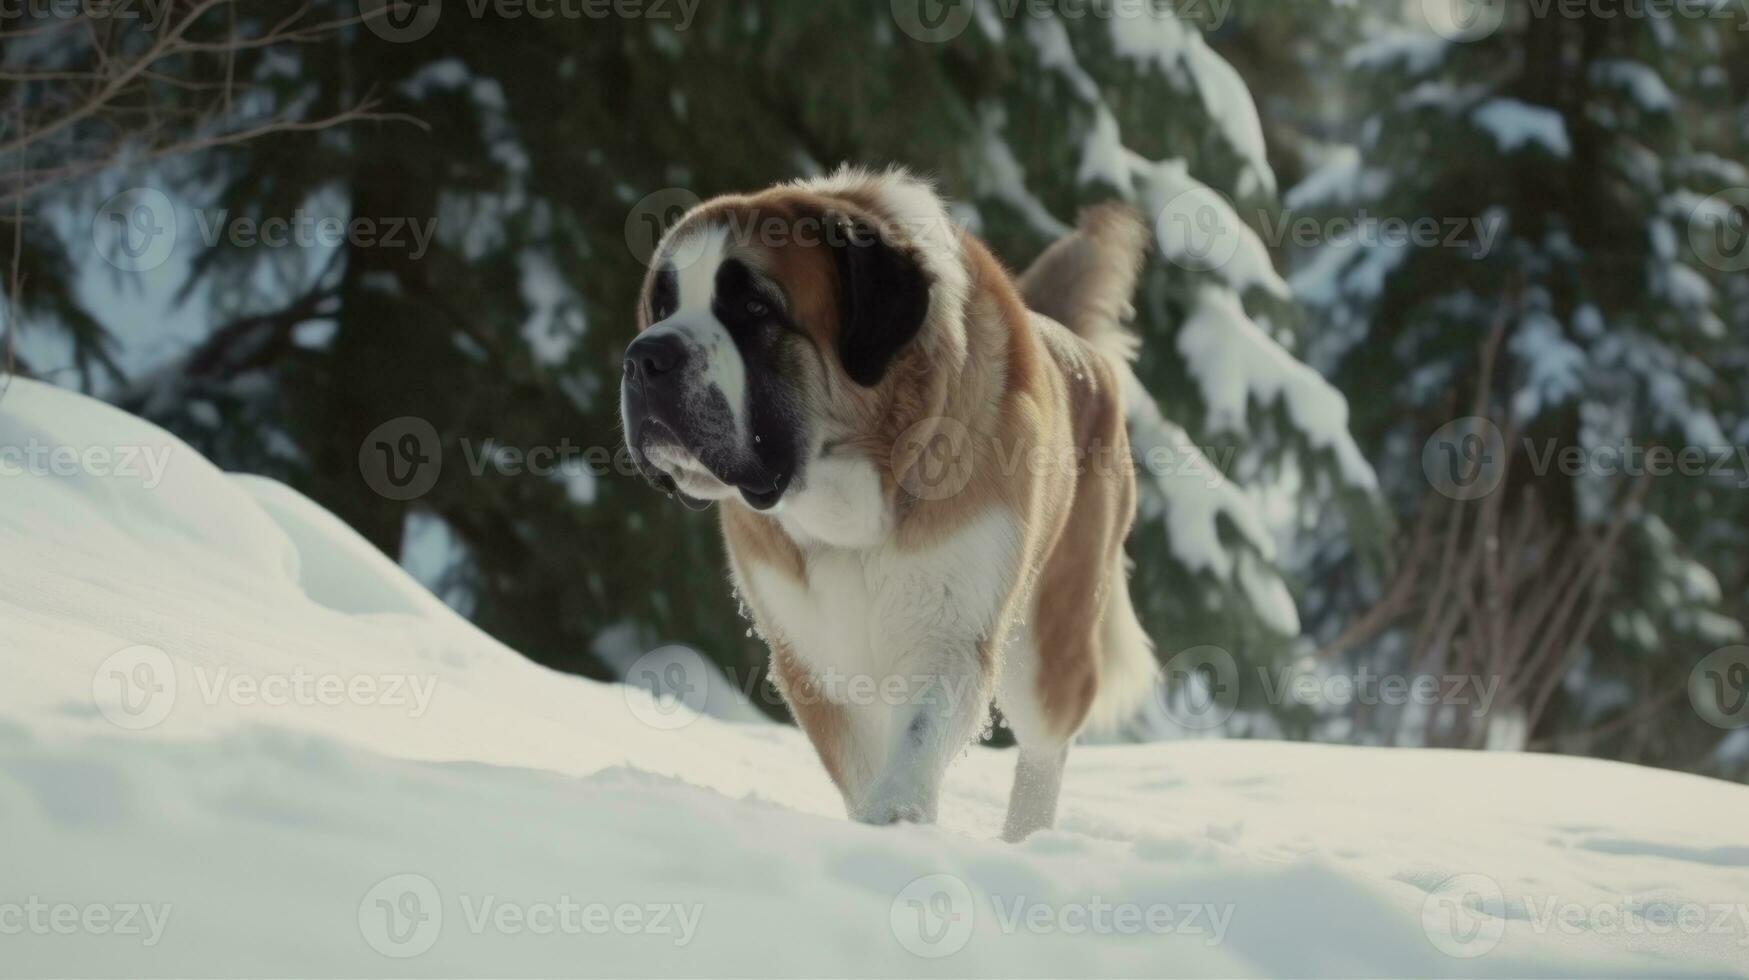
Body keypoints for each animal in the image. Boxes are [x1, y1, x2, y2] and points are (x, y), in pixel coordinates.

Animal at [622, 164, 1154, 840]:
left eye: (754, 307)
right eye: (661, 306)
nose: (645, 356)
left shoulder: (950, 632)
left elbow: (917, 741)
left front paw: (895, 824)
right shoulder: (812, 655)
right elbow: (859, 760)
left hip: (1049, 642)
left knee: (1044, 748)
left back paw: (1027, 840)